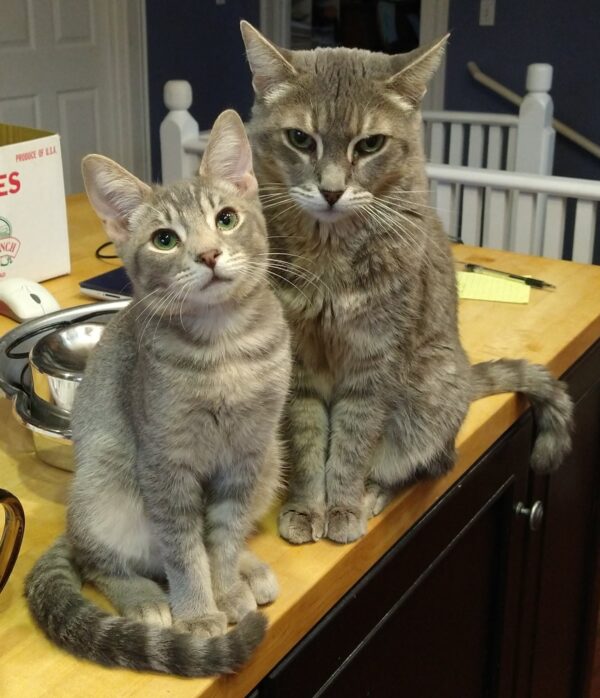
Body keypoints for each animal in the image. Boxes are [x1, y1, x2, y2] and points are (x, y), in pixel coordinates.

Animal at [24, 110, 292, 676]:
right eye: (165, 240)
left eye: (227, 219)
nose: (209, 253)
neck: (224, 351)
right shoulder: (166, 465)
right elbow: (185, 551)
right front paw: (199, 612)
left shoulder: (245, 456)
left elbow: (223, 537)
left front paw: (226, 587)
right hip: (105, 490)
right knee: (102, 561)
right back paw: (143, 598)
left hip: (271, 462)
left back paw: (249, 572)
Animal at [239, 21, 572, 548]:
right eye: (299, 139)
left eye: (370, 144)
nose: (331, 190)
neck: (329, 253)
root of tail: (464, 380)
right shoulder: (298, 365)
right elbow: (308, 441)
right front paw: (305, 506)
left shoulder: (374, 362)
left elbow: (353, 443)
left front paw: (342, 505)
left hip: (425, 407)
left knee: (428, 464)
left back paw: (373, 494)